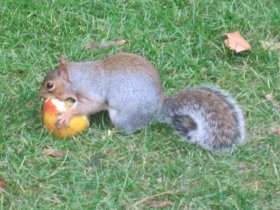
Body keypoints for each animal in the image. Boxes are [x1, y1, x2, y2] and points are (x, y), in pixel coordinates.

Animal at [39, 52, 245, 153]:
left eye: (50, 85)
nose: (41, 95)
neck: (78, 76)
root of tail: (158, 108)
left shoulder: (92, 92)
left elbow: (91, 105)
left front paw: (67, 114)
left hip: (122, 116)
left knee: (127, 129)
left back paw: (107, 133)